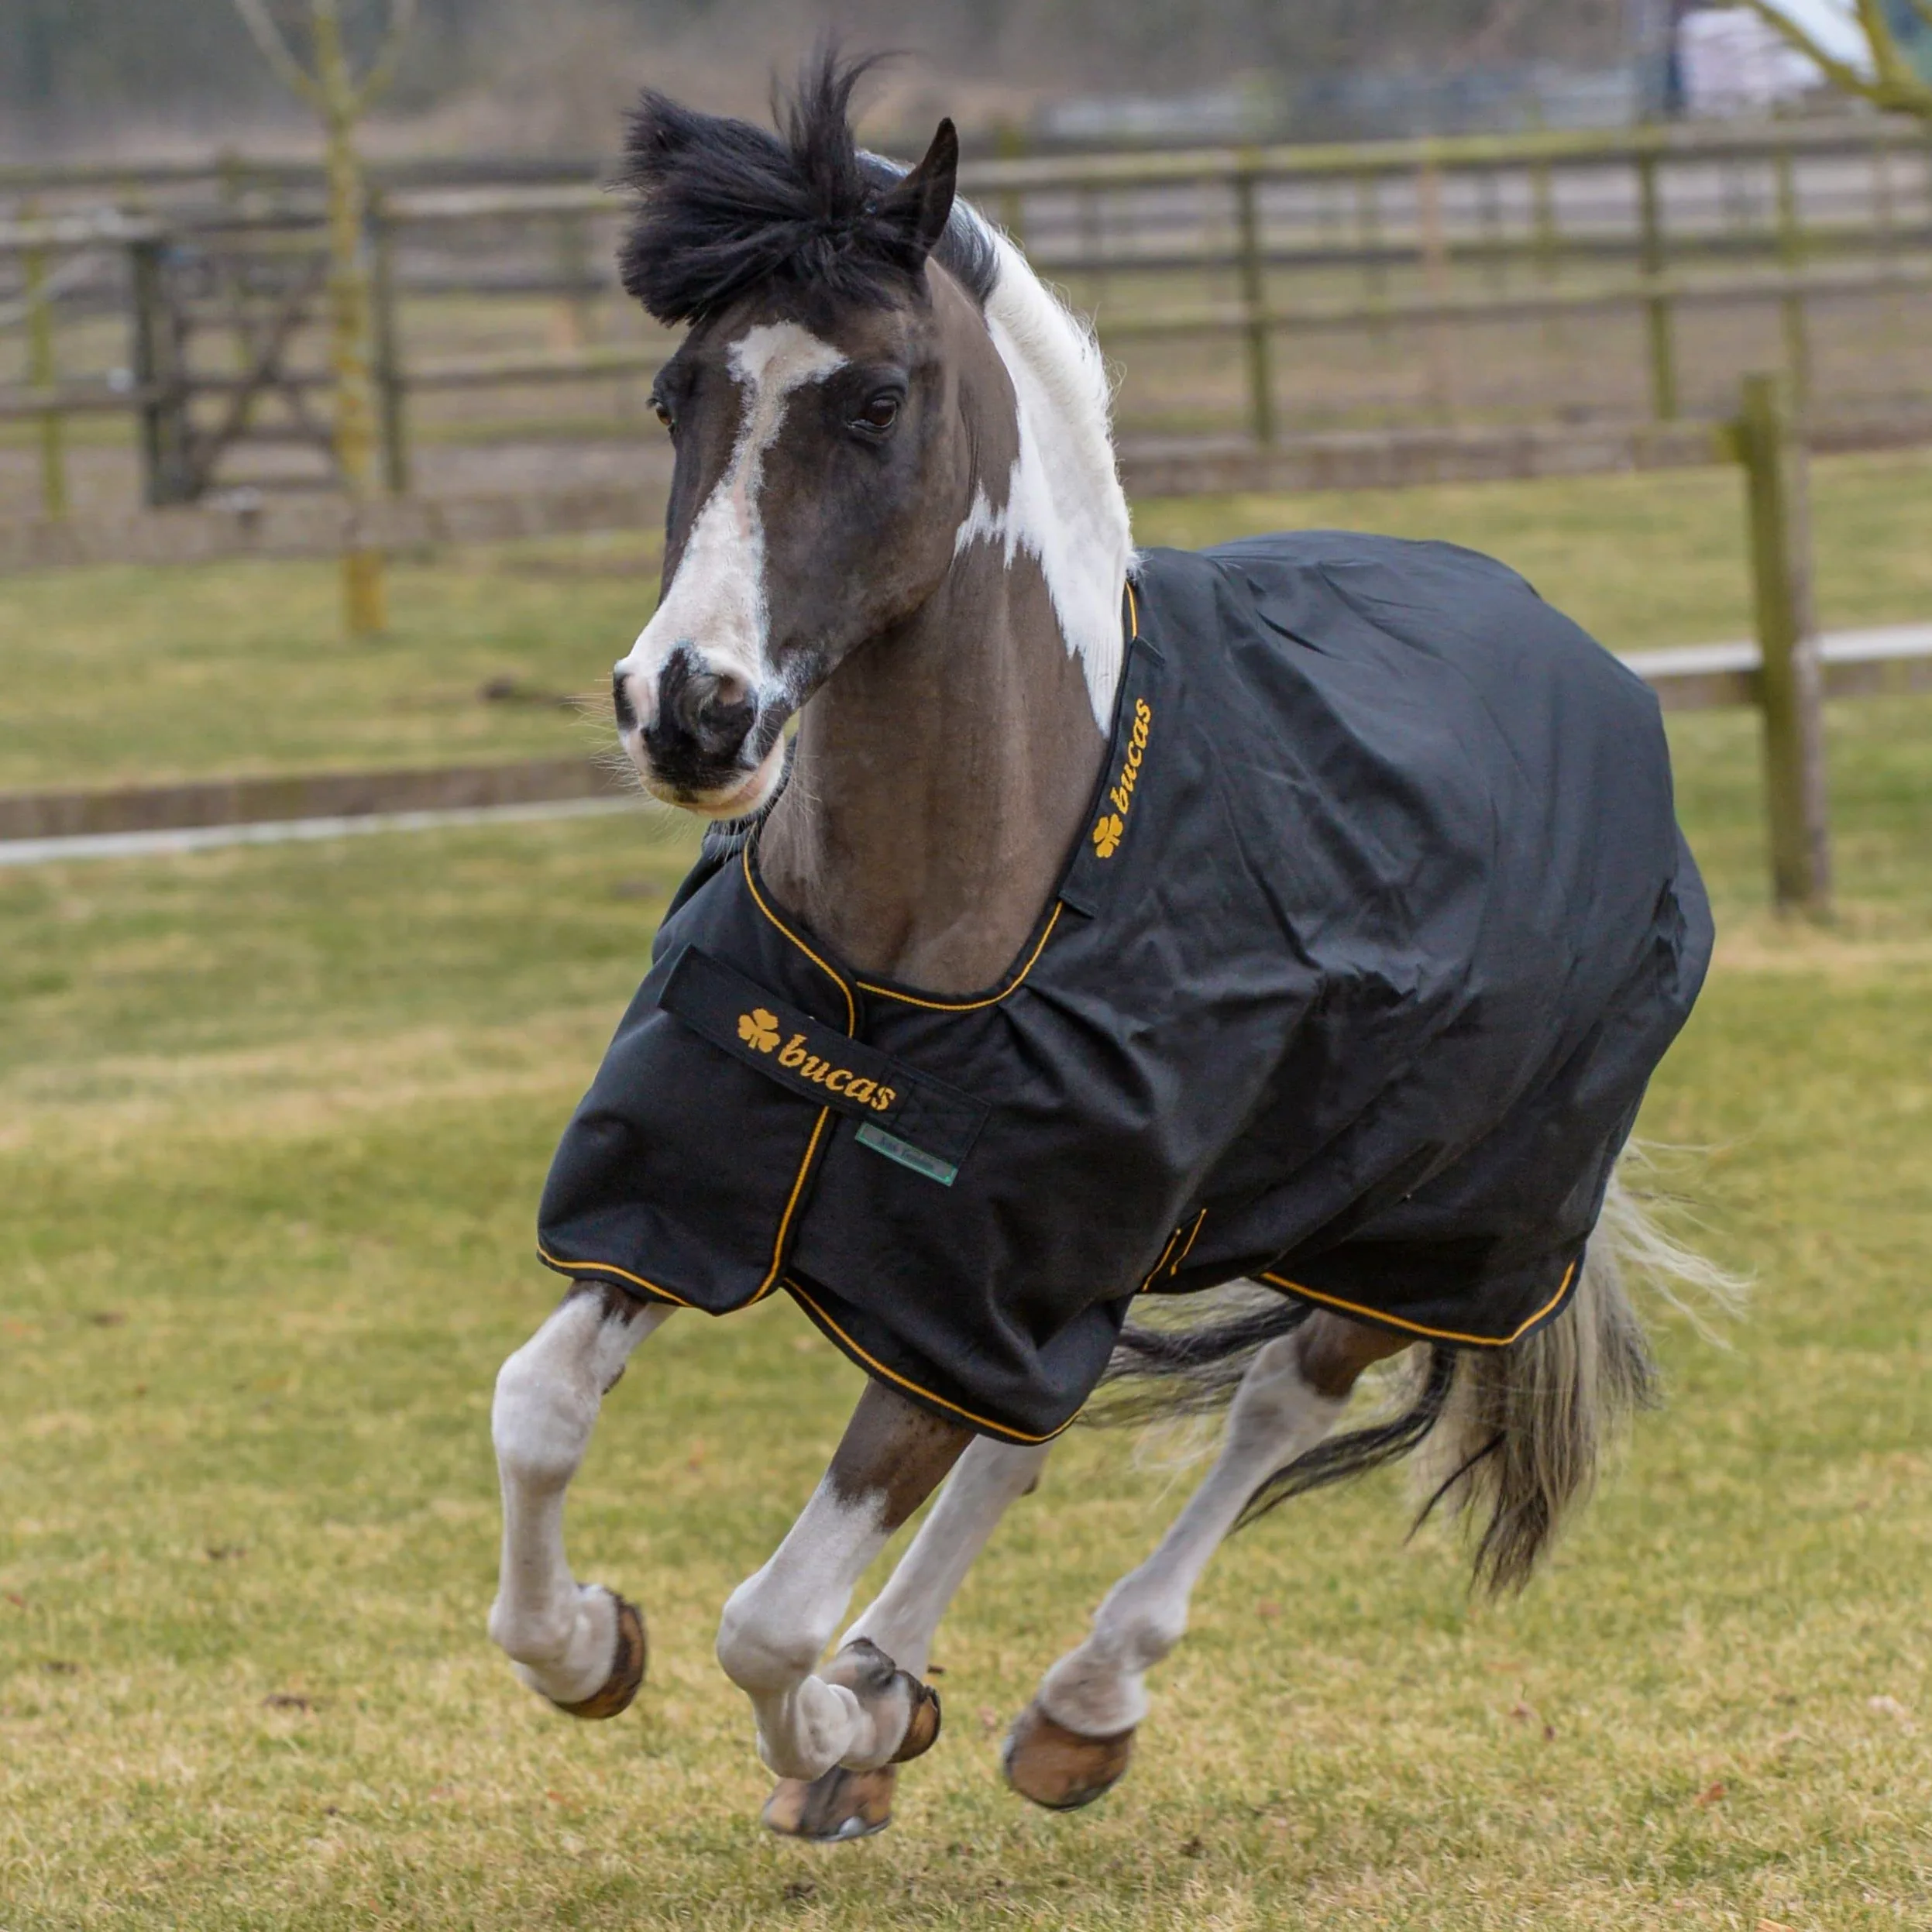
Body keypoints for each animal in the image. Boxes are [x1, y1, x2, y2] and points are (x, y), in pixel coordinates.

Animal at [485, 54, 1726, 1842]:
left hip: (1432, 1227)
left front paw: (828, 1735)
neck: (911, 965)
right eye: (675, 396)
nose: (688, 711)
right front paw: (596, 1645)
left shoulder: (968, 1293)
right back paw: (899, 1682)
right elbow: (539, 1410)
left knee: (1275, 1404)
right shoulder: (704, 1204)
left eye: (875, 401)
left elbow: (766, 1615)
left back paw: (1074, 1701)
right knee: (1030, 1437)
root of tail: (1585, 660)